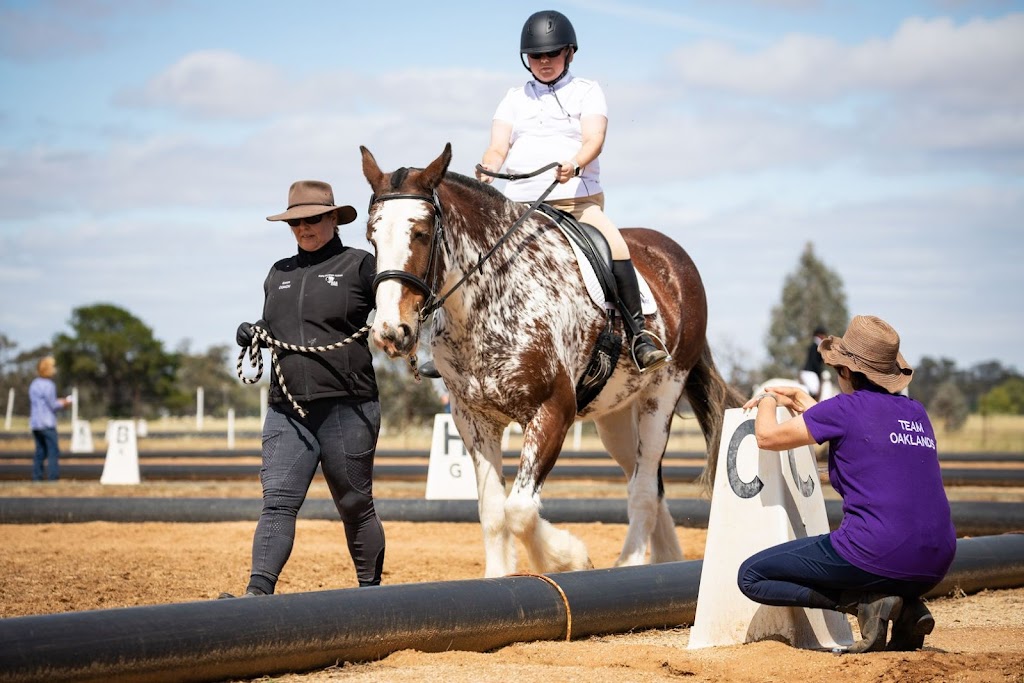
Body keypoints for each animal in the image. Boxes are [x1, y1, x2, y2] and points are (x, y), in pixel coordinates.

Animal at [364, 143, 741, 577]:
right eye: (372, 237)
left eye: (421, 233)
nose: (390, 332)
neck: (489, 301)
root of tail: (674, 257)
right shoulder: (473, 420)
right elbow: (493, 511)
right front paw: (498, 576)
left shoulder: (553, 411)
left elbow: (519, 510)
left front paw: (570, 558)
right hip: (615, 416)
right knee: (648, 483)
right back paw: (661, 560)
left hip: (661, 395)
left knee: (644, 488)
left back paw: (628, 563)